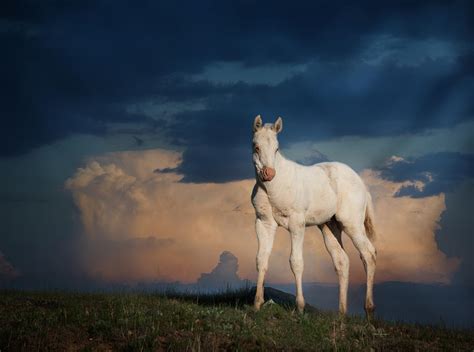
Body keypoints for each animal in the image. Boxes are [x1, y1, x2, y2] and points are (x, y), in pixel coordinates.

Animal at [250, 116, 376, 320]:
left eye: (276, 148)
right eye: (256, 147)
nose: (269, 174)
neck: (273, 188)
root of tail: (362, 184)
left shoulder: (297, 224)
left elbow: (296, 262)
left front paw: (300, 307)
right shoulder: (264, 223)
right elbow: (261, 259)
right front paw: (257, 304)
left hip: (352, 224)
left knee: (368, 254)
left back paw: (369, 310)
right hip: (330, 226)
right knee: (342, 261)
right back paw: (342, 313)